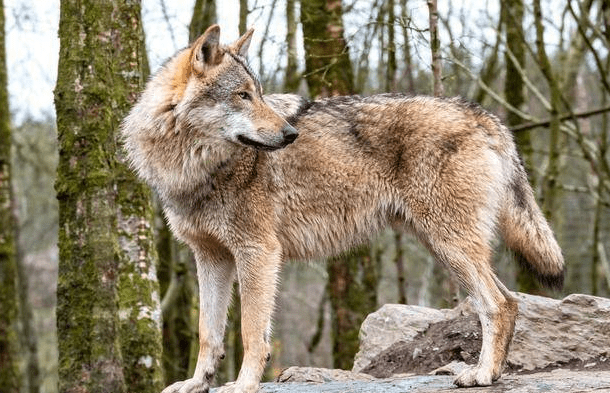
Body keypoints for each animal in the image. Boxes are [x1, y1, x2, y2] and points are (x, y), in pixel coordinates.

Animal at [121, 25, 564, 392]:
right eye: (243, 96)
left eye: (258, 94)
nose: (290, 134)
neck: (193, 168)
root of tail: (485, 115)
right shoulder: (210, 258)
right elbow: (208, 333)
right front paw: (197, 383)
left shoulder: (258, 253)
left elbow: (251, 331)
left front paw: (243, 386)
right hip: (442, 245)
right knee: (507, 300)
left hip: (450, 245)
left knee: (500, 304)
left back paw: (483, 374)